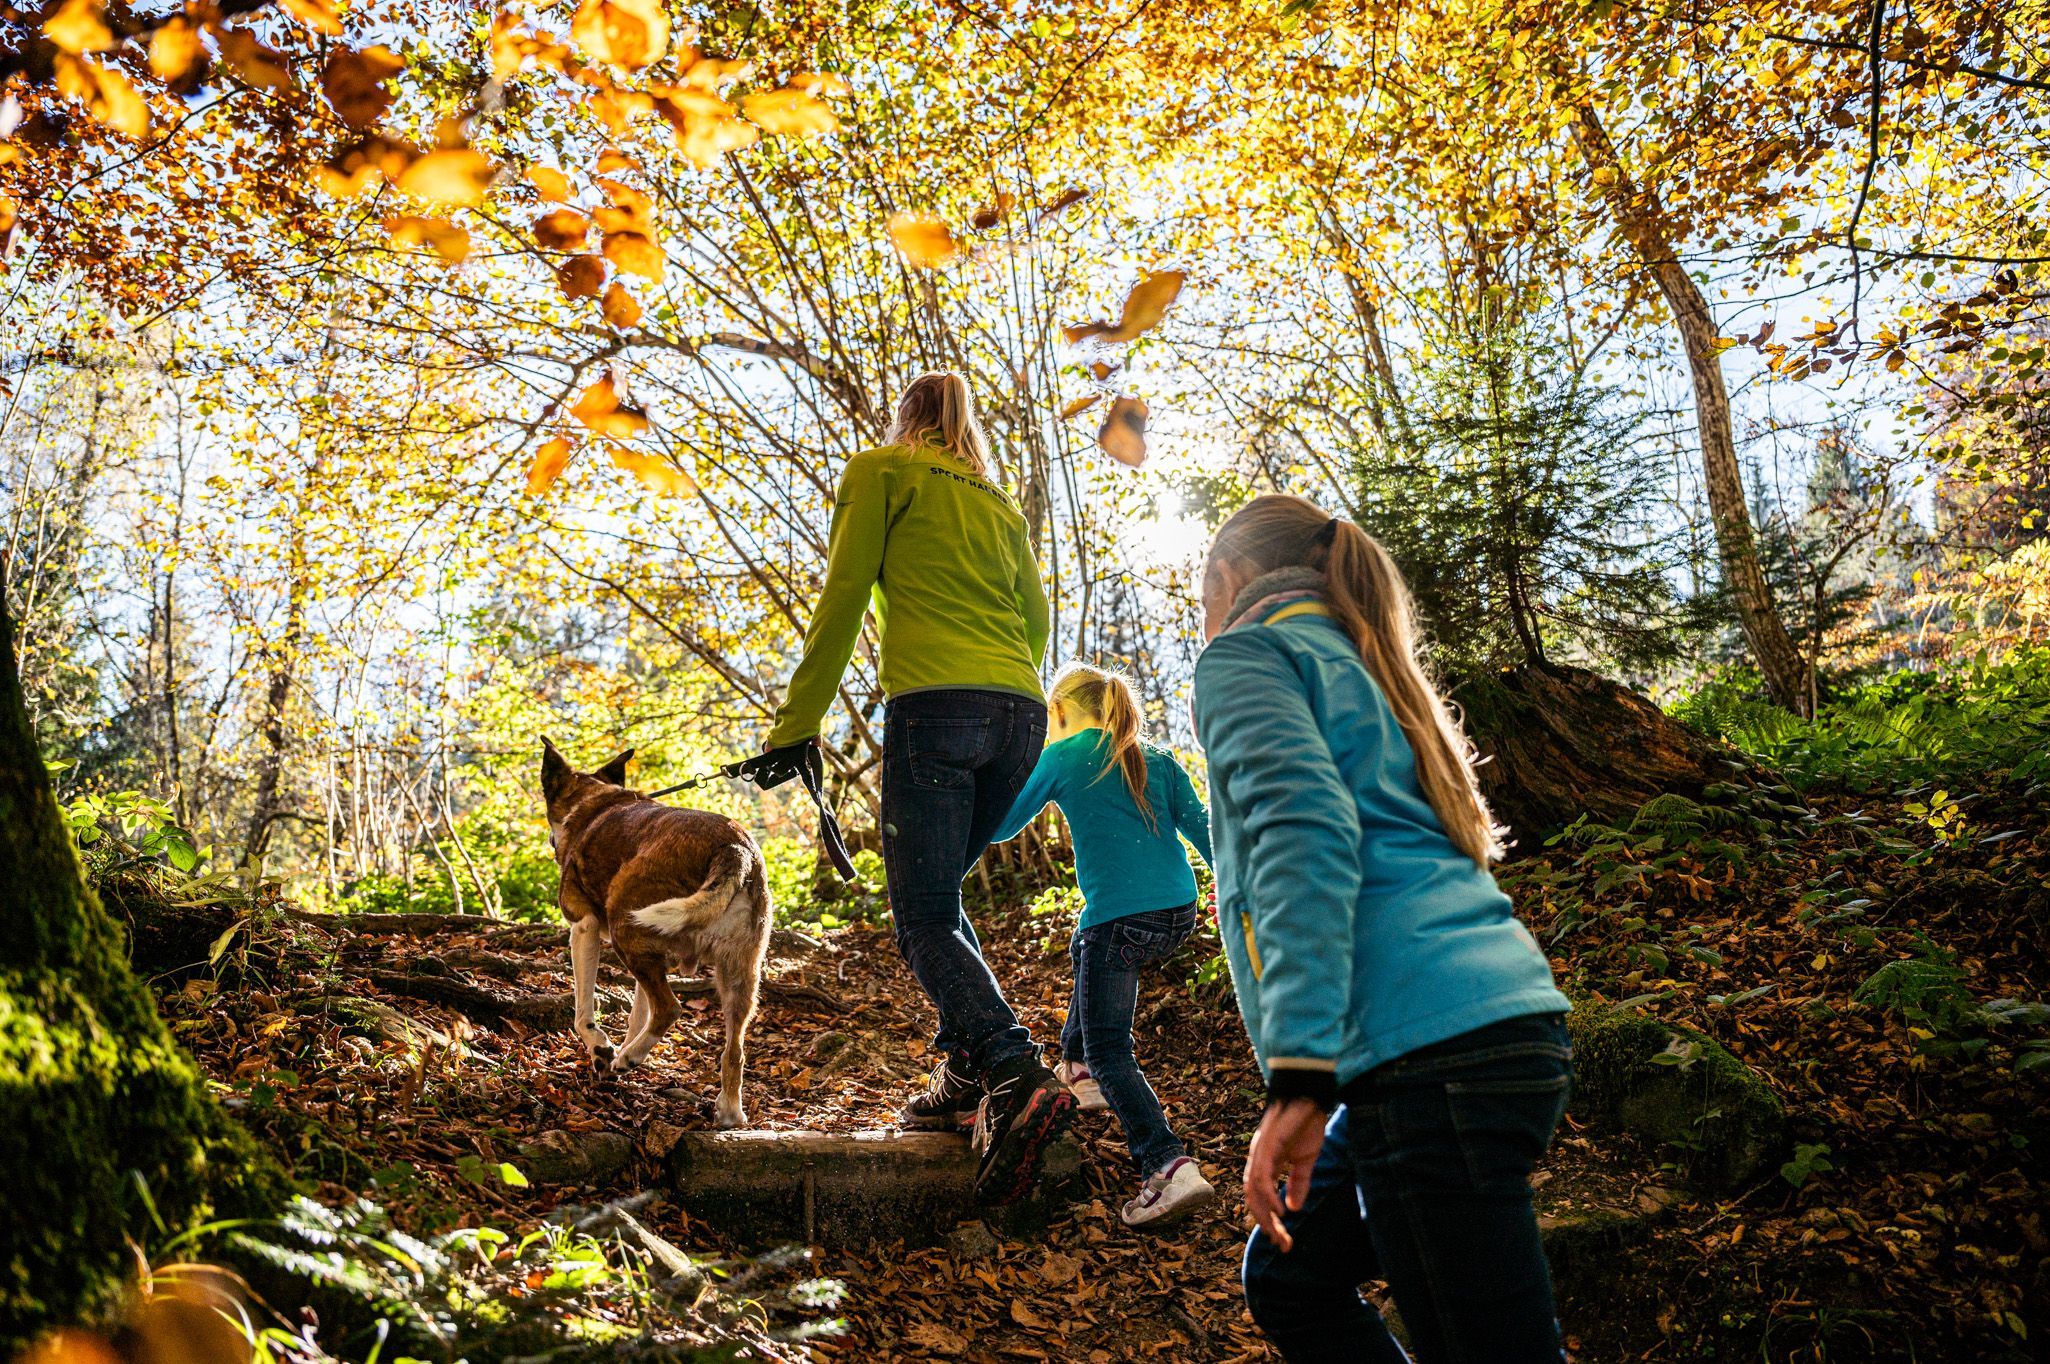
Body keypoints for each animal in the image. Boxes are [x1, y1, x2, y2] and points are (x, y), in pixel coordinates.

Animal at [541, 738, 770, 1124]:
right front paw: (616, 1058)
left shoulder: (584, 928)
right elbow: (638, 1014)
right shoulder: (650, 955)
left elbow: (583, 1012)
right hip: (738, 972)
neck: (593, 800)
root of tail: (734, 848)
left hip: (625, 926)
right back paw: (728, 1111)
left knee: (669, 1008)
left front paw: (602, 1050)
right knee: (733, 1048)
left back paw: (629, 1057)